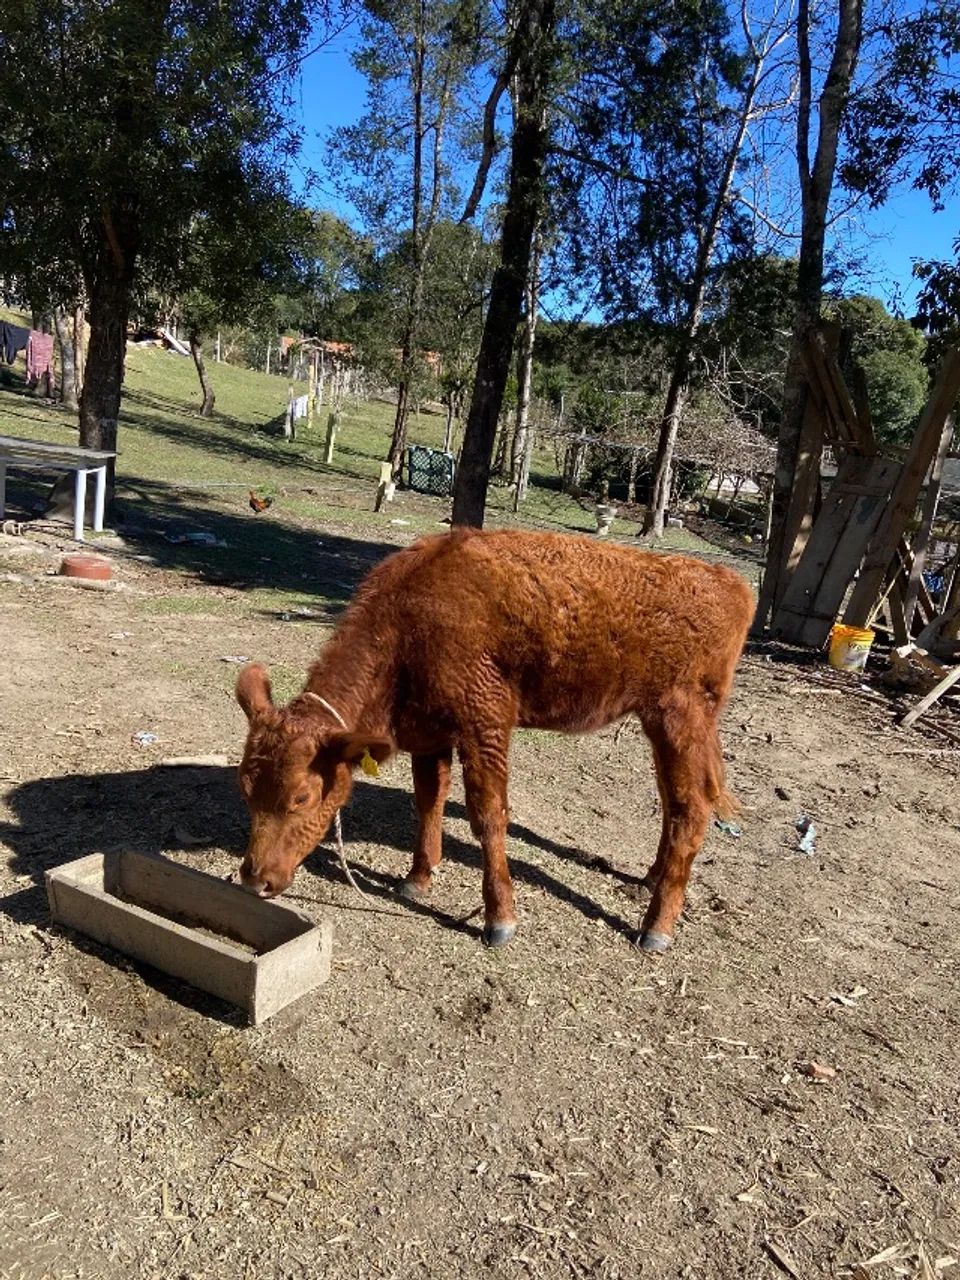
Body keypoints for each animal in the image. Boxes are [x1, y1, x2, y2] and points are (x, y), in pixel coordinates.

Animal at [235, 527, 755, 953]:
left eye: (301, 797)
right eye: (246, 788)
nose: (255, 880)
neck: (409, 621)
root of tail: (730, 582)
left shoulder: (484, 722)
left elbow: (488, 815)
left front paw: (499, 918)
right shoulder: (429, 733)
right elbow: (429, 800)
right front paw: (418, 878)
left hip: (680, 719)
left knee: (691, 809)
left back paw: (656, 927)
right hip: (662, 726)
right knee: (672, 802)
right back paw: (649, 880)